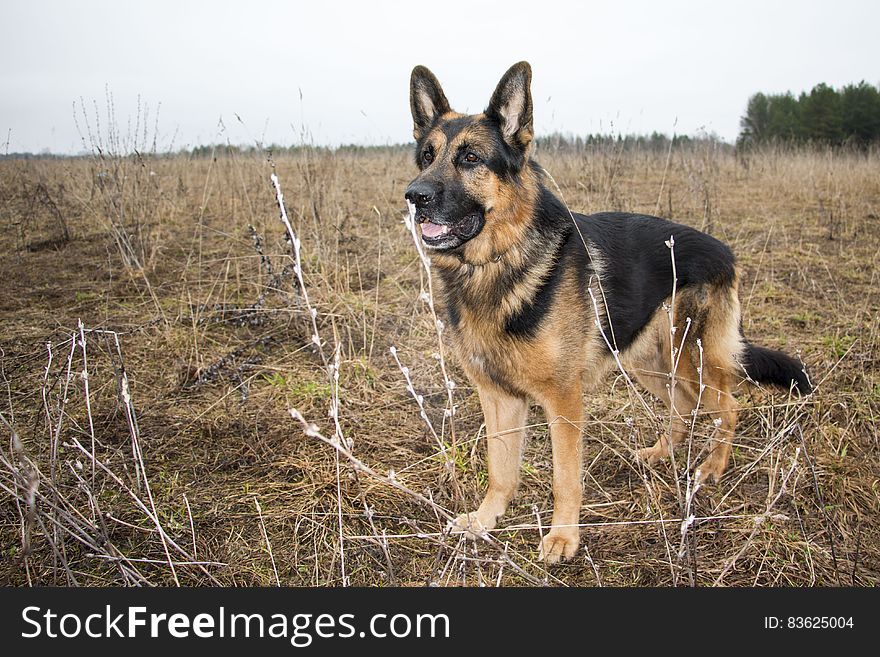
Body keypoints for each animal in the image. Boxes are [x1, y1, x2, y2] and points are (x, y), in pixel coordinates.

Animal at [406, 62, 812, 564]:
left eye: (470, 158)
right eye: (427, 156)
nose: (415, 196)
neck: (499, 260)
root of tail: (726, 252)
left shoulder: (563, 400)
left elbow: (565, 478)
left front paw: (563, 537)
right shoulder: (497, 396)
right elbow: (500, 469)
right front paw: (485, 521)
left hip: (692, 358)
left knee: (729, 407)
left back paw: (711, 468)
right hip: (651, 362)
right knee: (683, 408)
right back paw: (659, 454)